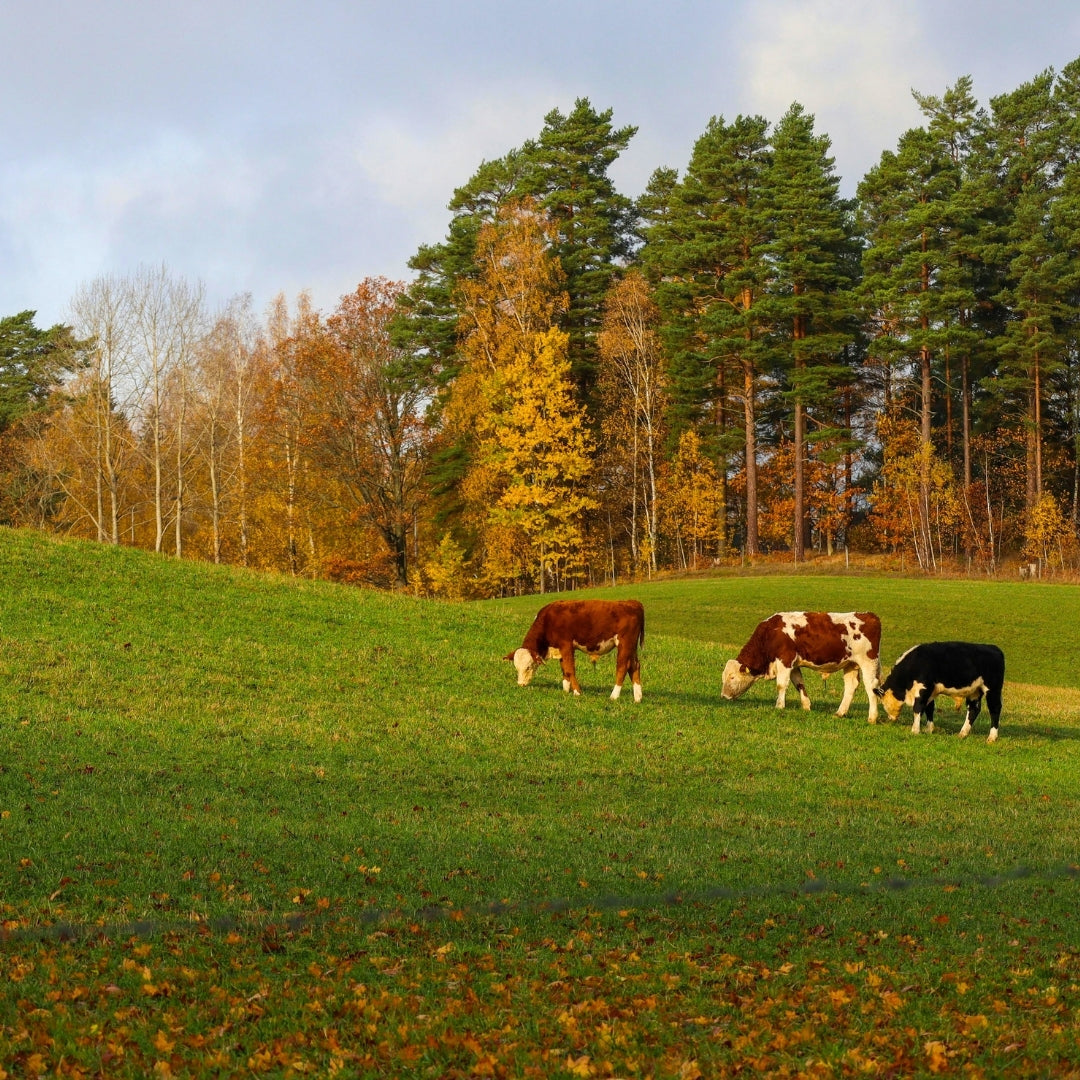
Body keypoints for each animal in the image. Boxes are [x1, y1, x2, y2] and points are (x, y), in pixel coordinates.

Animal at [504, 599, 645, 701]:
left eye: (528, 667)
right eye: (516, 667)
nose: (520, 684)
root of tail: (632, 602)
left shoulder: (566, 645)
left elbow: (570, 669)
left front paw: (577, 692)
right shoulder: (560, 649)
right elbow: (564, 670)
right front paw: (566, 690)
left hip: (624, 644)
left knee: (622, 667)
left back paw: (614, 696)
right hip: (632, 647)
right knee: (634, 666)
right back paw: (637, 698)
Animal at [721, 611, 882, 721]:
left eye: (732, 677)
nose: (723, 696)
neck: (770, 633)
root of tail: (869, 615)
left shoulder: (785, 660)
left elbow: (781, 685)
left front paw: (779, 706)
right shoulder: (794, 665)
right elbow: (799, 684)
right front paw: (806, 706)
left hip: (868, 661)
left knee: (871, 686)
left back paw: (872, 717)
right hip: (850, 664)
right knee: (851, 686)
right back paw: (839, 713)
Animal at [874, 642, 1005, 743]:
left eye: (883, 704)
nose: (890, 719)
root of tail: (993, 648)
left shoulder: (923, 688)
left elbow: (918, 708)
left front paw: (915, 730)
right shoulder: (930, 691)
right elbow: (929, 708)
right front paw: (929, 729)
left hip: (993, 689)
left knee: (995, 709)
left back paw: (992, 737)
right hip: (975, 691)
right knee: (973, 710)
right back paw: (962, 733)